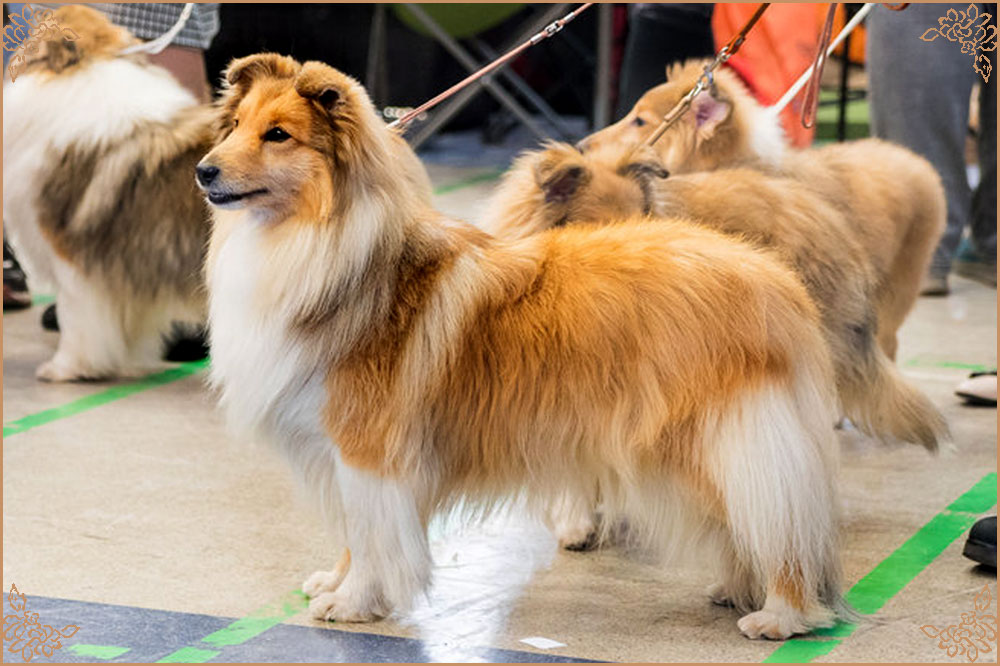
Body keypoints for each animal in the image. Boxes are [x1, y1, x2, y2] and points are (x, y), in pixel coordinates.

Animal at [199, 55, 848, 640]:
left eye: (278, 135)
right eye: (235, 126)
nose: (204, 171)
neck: (324, 247)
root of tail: (775, 280)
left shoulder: (369, 450)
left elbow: (372, 537)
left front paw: (354, 602)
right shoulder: (346, 454)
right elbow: (357, 538)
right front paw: (337, 584)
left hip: (725, 440)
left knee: (781, 528)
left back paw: (779, 614)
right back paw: (737, 588)